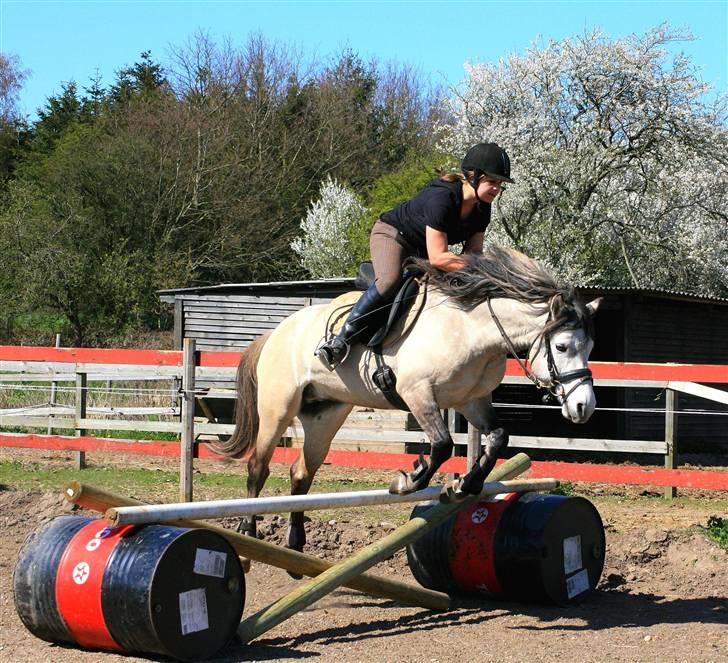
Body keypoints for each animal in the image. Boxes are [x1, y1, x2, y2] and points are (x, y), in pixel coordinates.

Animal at [213, 246, 600, 556]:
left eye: (590, 348)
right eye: (562, 346)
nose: (584, 408)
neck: (472, 331)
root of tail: (275, 332)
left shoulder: (471, 400)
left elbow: (498, 438)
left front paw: (465, 486)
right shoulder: (418, 394)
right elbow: (442, 445)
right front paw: (409, 481)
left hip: (326, 415)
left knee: (301, 472)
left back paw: (296, 543)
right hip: (278, 406)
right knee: (258, 465)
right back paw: (248, 529)